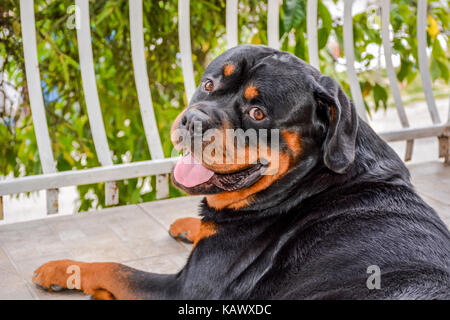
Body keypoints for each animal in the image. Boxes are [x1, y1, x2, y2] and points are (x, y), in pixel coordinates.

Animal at [34, 45, 450, 300]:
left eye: (257, 113)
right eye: (208, 84)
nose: (193, 120)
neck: (305, 186)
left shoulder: (185, 291)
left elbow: (114, 268)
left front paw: (63, 270)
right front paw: (191, 224)